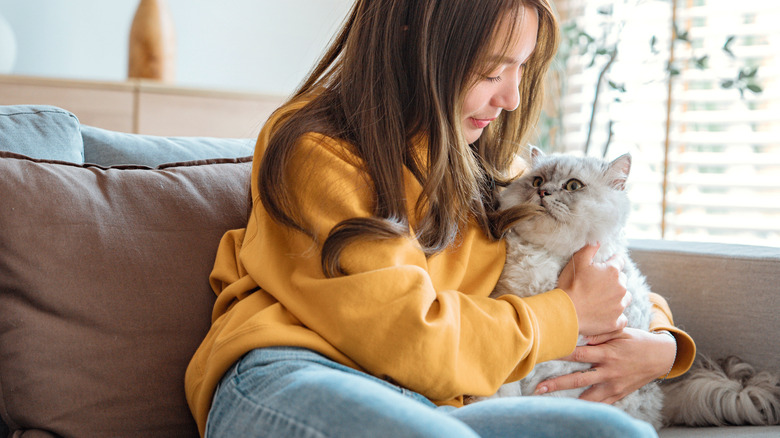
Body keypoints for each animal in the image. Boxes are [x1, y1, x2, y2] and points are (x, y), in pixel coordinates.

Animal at [472, 145, 660, 430]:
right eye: (537, 181)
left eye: (573, 186)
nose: (543, 192)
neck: (547, 257)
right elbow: (503, 393)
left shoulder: (562, 372)